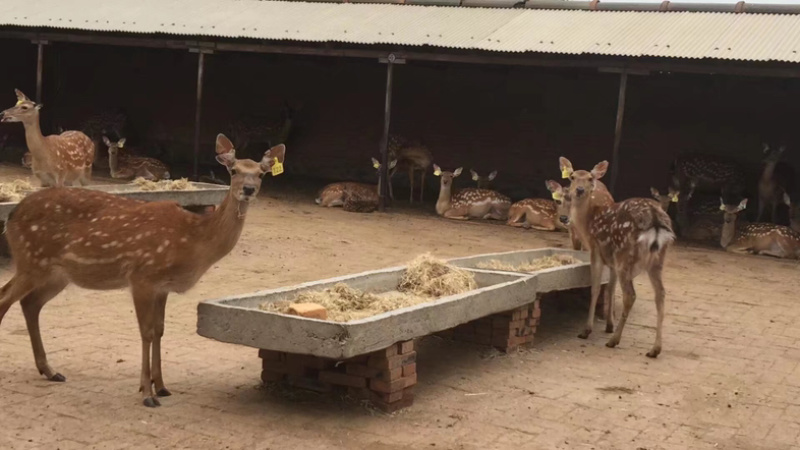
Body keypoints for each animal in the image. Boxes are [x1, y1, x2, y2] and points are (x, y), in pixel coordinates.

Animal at [0, 134, 285, 407]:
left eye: (261, 173)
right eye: (234, 170)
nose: (248, 189)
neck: (192, 240)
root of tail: (12, 215)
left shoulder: (162, 286)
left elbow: (159, 330)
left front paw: (162, 386)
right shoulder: (142, 277)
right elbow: (146, 332)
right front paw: (147, 393)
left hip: (56, 273)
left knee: (30, 303)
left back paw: (50, 370)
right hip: (31, 260)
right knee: (5, 298)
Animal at [565, 158, 674, 358]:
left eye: (590, 177)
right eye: (572, 176)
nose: (580, 190)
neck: (587, 223)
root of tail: (655, 218)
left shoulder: (596, 250)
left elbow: (595, 288)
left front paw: (587, 330)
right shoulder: (612, 259)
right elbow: (610, 288)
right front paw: (609, 325)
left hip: (626, 254)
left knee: (630, 295)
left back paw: (614, 340)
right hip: (656, 260)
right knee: (660, 294)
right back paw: (654, 349)